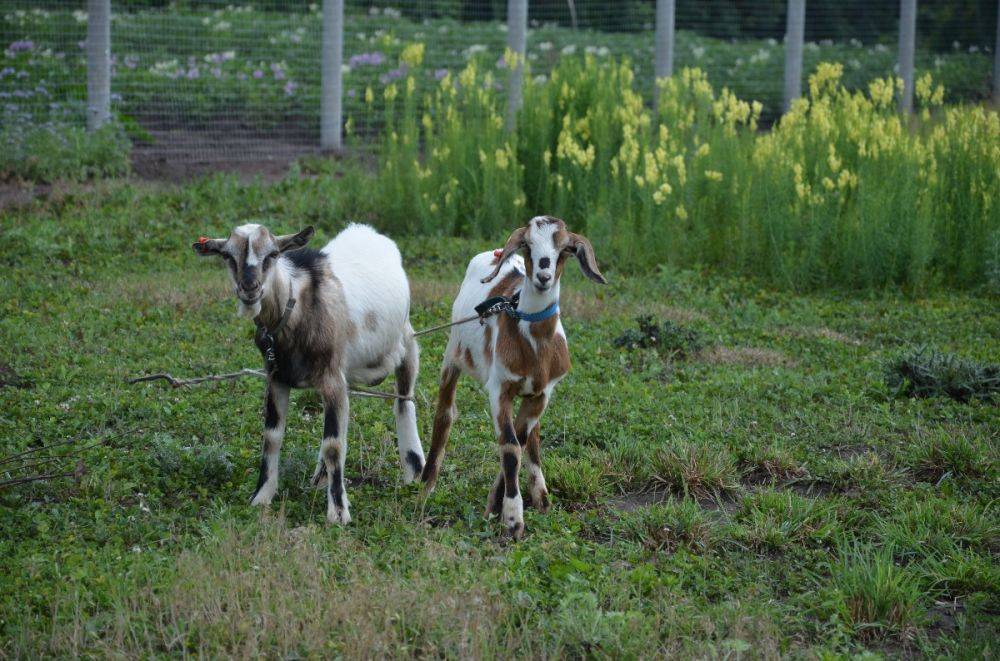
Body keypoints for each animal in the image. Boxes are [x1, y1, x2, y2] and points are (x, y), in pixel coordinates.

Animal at [193, 224, 424, 524]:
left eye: (273, 254)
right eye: (227, 256)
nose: (250, 289)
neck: (296, 308)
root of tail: (368, 231)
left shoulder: (331, 378)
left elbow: (333, 444)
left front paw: (338, 513)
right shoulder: (277, 378)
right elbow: (272, 437)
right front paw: (261, 497)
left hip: (406, 342)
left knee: (404, 401)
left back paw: (414, 470)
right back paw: (320, 477)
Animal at [418, 215, 604, 536]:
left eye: (565, 249)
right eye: (527, 245)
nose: (543, 275)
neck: (535, 346)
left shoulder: (543, 393)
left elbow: (521, 439)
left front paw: (498, 505)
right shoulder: (499, 388)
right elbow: (509, 445)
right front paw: (513, 518)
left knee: (534, 437)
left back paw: (541, 497)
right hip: (452, 354)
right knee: (444, 414)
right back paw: (425, 486)